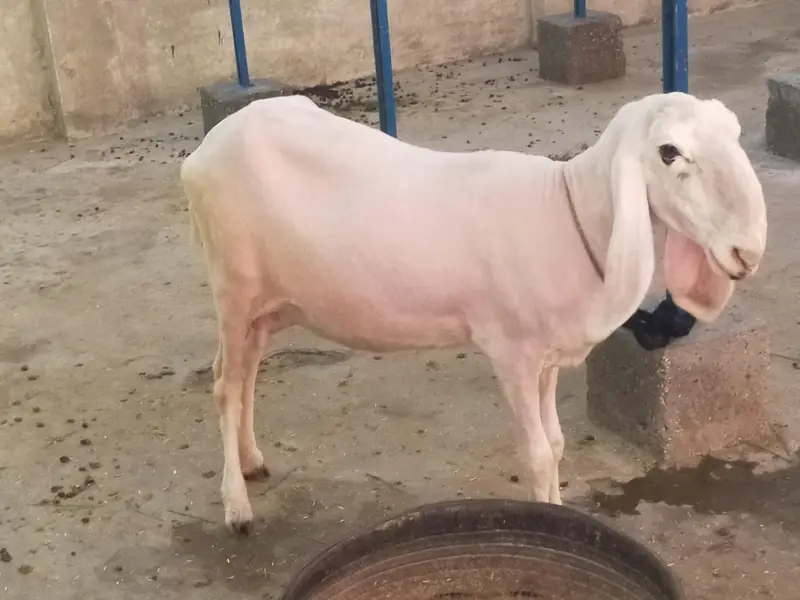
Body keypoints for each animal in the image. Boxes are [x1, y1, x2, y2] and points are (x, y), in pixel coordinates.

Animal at [180, 91, 767, 533]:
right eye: (669, 152)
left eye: (735, 133)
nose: (748, 251)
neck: (570, 211)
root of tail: (201, 152)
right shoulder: (511, 351)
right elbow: (536, 455)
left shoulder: (544, 356)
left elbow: (556, 445)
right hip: (232, 286)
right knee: (224, 385)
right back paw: (236, 505)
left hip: (269, 303)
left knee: (246, 373)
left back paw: (251, 461)